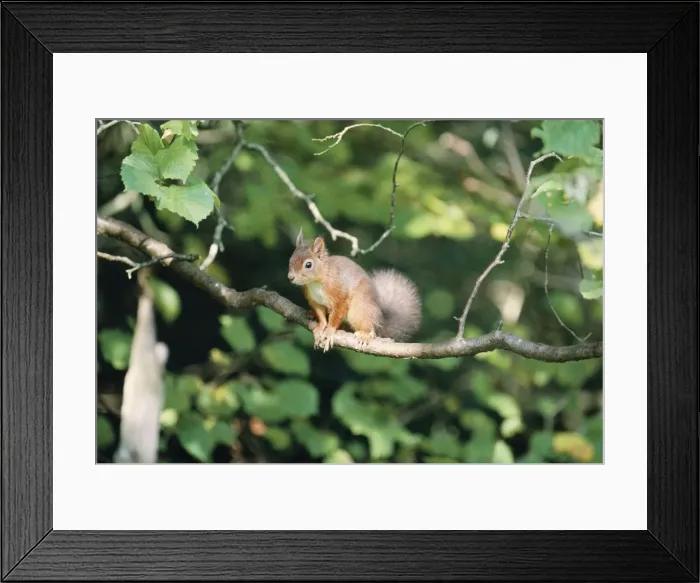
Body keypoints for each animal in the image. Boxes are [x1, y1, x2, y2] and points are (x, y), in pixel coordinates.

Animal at [287, 228, 421, 352]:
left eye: (308, 265)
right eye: (290, 260)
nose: (290, 277)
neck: (314, 283)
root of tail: (380, 320)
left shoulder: (339, 293)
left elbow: (336, 315)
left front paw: (329, 331)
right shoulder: (314, 300)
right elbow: (321, 315)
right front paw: (320, 327)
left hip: (359, 308)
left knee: (368, 326)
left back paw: (365, 334)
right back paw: (311, 314)